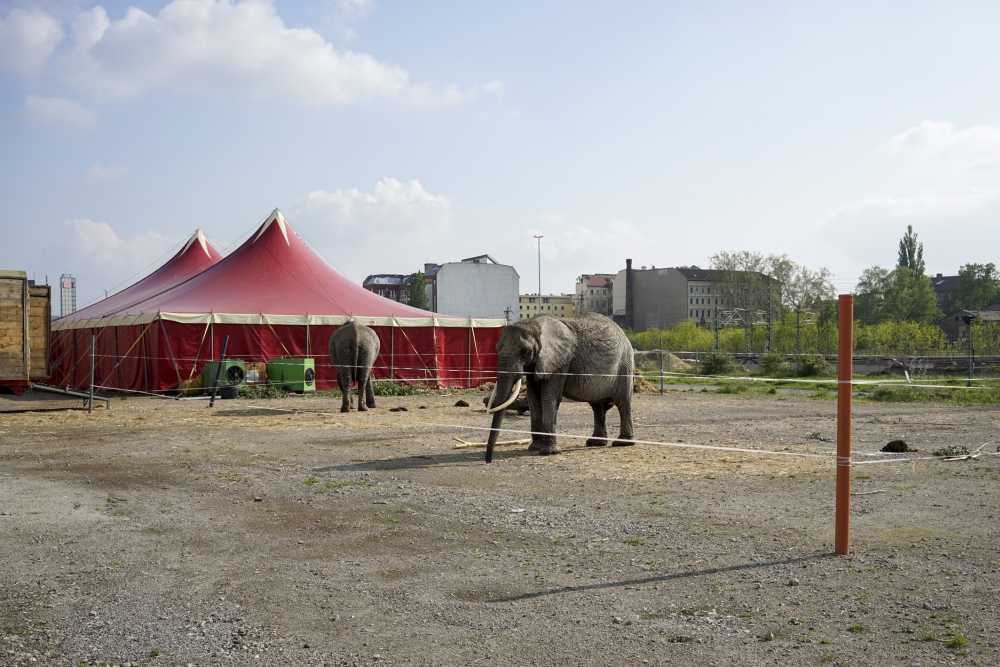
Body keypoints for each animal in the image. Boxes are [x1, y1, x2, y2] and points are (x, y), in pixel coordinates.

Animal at [484, 314, 632, 464]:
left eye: (525, 351)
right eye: (497, 349)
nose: (488, 460)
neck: (534, 323)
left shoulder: (560, 362)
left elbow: (549, 397)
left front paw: (548, 452)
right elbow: (533, 398)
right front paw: (534, 448)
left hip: (625, 364)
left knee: (622, 402)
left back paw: (622, 443)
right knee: (597, 406)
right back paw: (595, 443)